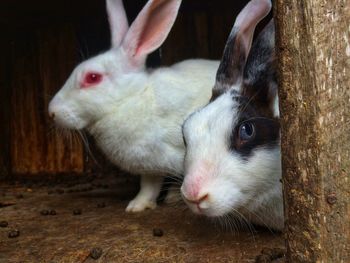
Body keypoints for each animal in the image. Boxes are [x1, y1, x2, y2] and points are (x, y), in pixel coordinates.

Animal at [48, 0, 219, 213]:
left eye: (93, 77)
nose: (52, 111)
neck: (132, 99)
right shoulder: (152, 165)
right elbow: (149, 186)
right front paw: (137, 205)